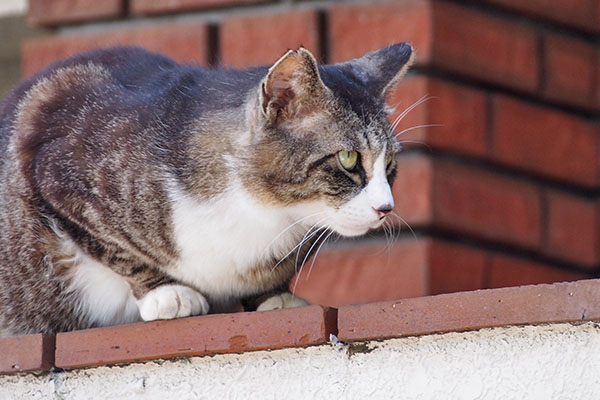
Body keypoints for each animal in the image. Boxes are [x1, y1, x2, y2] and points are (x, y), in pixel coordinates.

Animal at [0, 42, 412, 336]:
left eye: (390, 163)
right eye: (348, 157)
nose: (386, 208)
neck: (261, 210)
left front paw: (275, 296)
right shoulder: (56, 167)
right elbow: (112, 246)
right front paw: (165, 293)